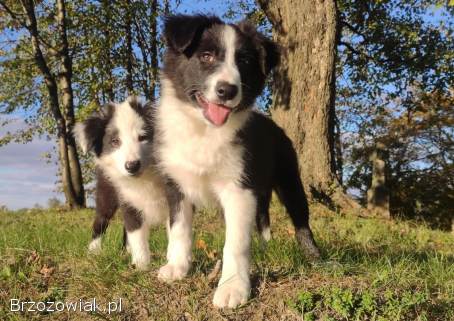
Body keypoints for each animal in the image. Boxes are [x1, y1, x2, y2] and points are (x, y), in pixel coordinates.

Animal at [73, 96, 168, 268]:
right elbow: (136, 232)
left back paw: (127, 250)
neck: (145, 178)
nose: (132, 166)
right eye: (115, 141)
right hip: (107, 194)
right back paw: (94, 250)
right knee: (100, 222)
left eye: (143, 137)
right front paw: (141, 265)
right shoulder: (128, 200)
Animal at [156, 15, 320, 308]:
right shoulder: (175, 183)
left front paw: (233, 288)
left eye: (243, 62)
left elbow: (236, 242)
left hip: (289, 179)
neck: (204, 129)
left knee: (301, 221)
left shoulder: (239, 189)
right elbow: (178, 228)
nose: (227, 90)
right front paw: (177, 267)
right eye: (206, 56)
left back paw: (315, 257)